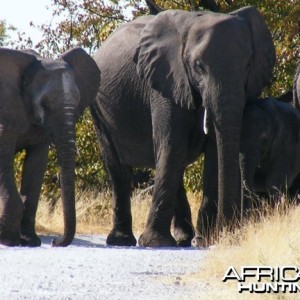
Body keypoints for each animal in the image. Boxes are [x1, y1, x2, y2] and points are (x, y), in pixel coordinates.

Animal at [0, 48, 101, 247]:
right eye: (44, 105)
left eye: (78, 102)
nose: (55, 241)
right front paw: (10, 241)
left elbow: (36, 165)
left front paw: (30, 242)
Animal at [92, 7, 276, 247]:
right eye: (199, 66)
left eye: (247, 65)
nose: (229, 234)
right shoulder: (165, 81)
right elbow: (173, 145)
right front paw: (156, 243)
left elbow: (213, 154)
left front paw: (205, 240)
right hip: (99, 108)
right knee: (119, 166)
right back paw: (122, 241)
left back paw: (184, 238)